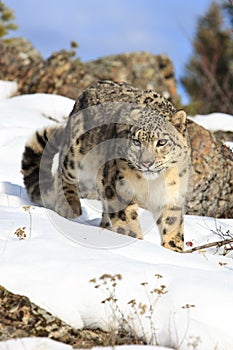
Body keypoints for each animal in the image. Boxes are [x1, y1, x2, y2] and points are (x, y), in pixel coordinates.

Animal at [21, 80, 191, 250]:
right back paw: (70, 206)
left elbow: (172, 225)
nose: (147, 162)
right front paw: (136, 242)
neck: (152, 182)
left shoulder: (172, 195)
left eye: (162, 142)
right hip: (76, 151)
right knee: (63, 172)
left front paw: (173, 250)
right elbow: (127, 221)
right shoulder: (118, 186)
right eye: (136, 141)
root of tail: (93, 86)